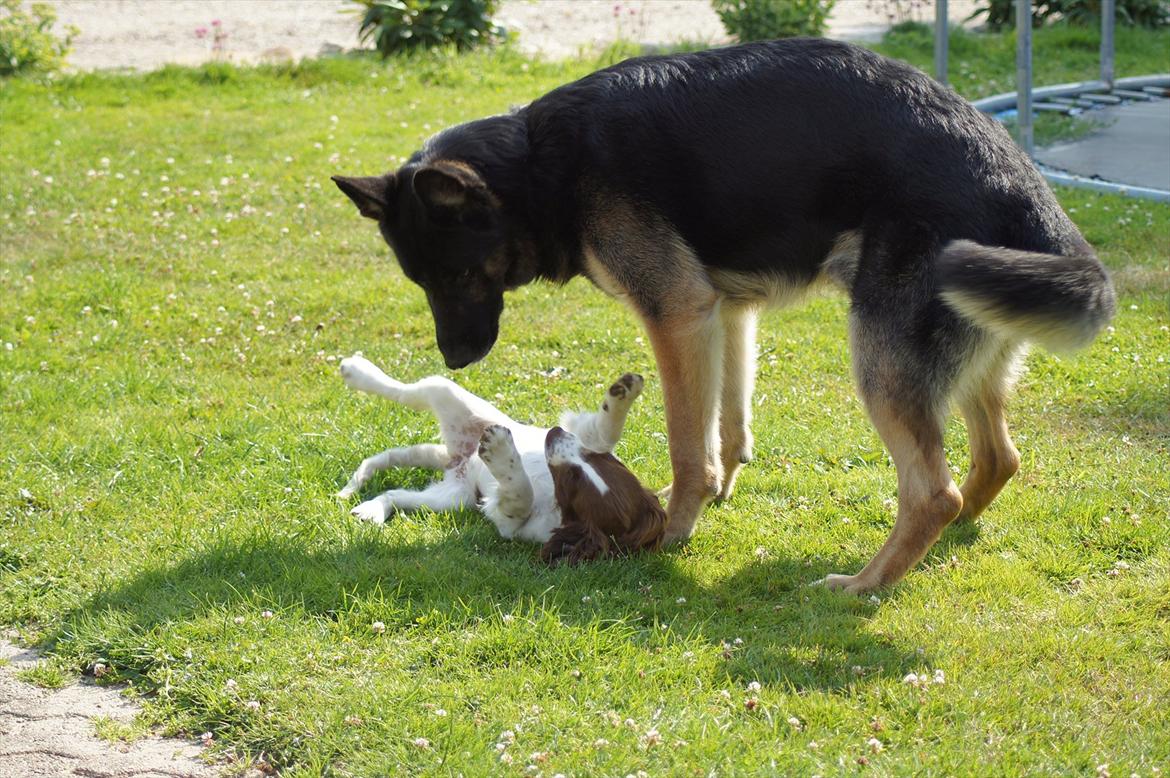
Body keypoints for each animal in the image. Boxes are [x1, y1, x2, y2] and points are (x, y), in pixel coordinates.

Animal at [339, 355, 669, 561]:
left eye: (572, 480)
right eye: (600, 460)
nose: (553, 433)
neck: (553, 500)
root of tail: (456, 454)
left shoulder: (510, 525)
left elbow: (520, 497)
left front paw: (500, 452)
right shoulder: (582, 433)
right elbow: (603, 432)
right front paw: (623, 393)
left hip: (453, 498)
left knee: (395, 494)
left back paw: (371, 510)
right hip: (452, 395)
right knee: (405, 392)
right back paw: (356, 370)